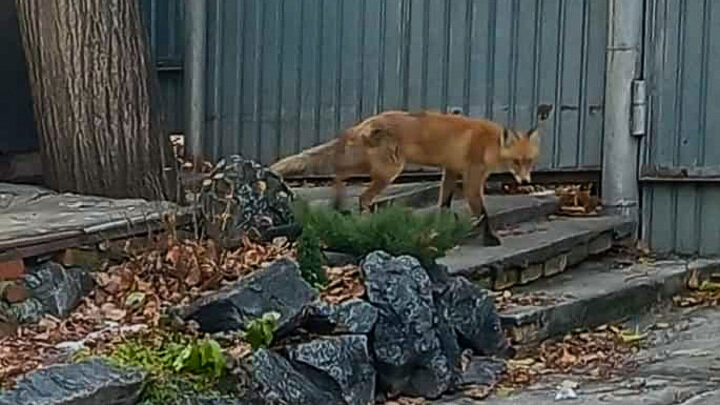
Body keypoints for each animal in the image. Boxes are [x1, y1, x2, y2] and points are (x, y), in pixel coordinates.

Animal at [270, 104, 552, 245]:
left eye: (530, 162)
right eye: (516, 162)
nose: (526, 181)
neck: (489, 145)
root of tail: (364, 123)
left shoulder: (451, 171)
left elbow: (444, 202)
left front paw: (442, 227)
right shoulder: (472, 179)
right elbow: (483, 213)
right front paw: (491, 239)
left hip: (371, 167)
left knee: (339, 173)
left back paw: (339, 204)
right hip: (389, 171)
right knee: (361, 195)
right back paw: (363, 218)